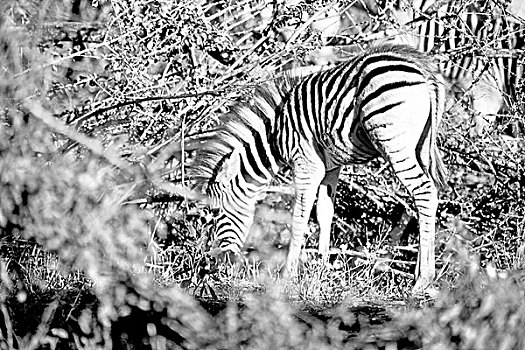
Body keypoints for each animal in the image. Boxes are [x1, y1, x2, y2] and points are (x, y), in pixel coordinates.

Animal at [181, 43, 446, 292]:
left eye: (216, 212)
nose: (215, 262)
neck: (275, 134)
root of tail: (420, 66)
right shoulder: (331, 166)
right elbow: (325, 212)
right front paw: (321, 271)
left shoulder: (306, 163)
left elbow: (300, 215)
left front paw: (288, 277)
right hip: (421, 145)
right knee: (428, 196)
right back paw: (421, 274)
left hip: (393, 141)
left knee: (423, 191)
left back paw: (423, 280)